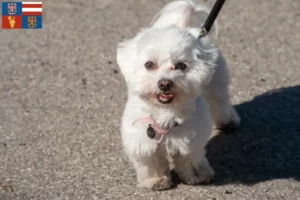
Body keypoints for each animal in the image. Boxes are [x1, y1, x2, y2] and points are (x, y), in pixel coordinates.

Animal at [116, 0, 240, 190]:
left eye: (181, 65)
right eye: (149, 64)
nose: (165, 83)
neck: (165, 112)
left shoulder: (190, 138)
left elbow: (190, 157)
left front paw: (198, 176)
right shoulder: (142, 139)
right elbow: (151, 161)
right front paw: (156, 180)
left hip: (216, 82)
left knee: (220, 101)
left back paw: (228, 121)